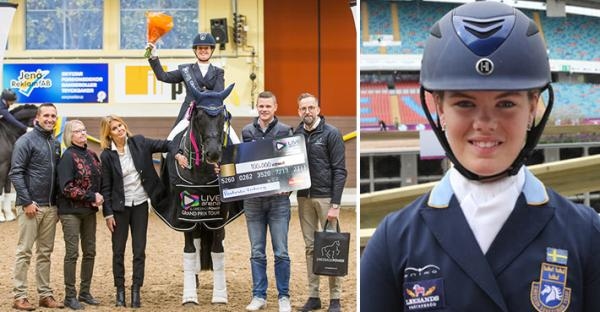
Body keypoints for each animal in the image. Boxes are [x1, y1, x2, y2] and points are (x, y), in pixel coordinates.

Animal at [152, 84, 244, 306]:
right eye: (199, 117)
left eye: (223, 116)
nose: (213, 153)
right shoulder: (185, 215)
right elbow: (189, 251)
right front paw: (189, 295)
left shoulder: (219, 215)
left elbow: (218, 251)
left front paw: (220, 295)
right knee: (194, 242)